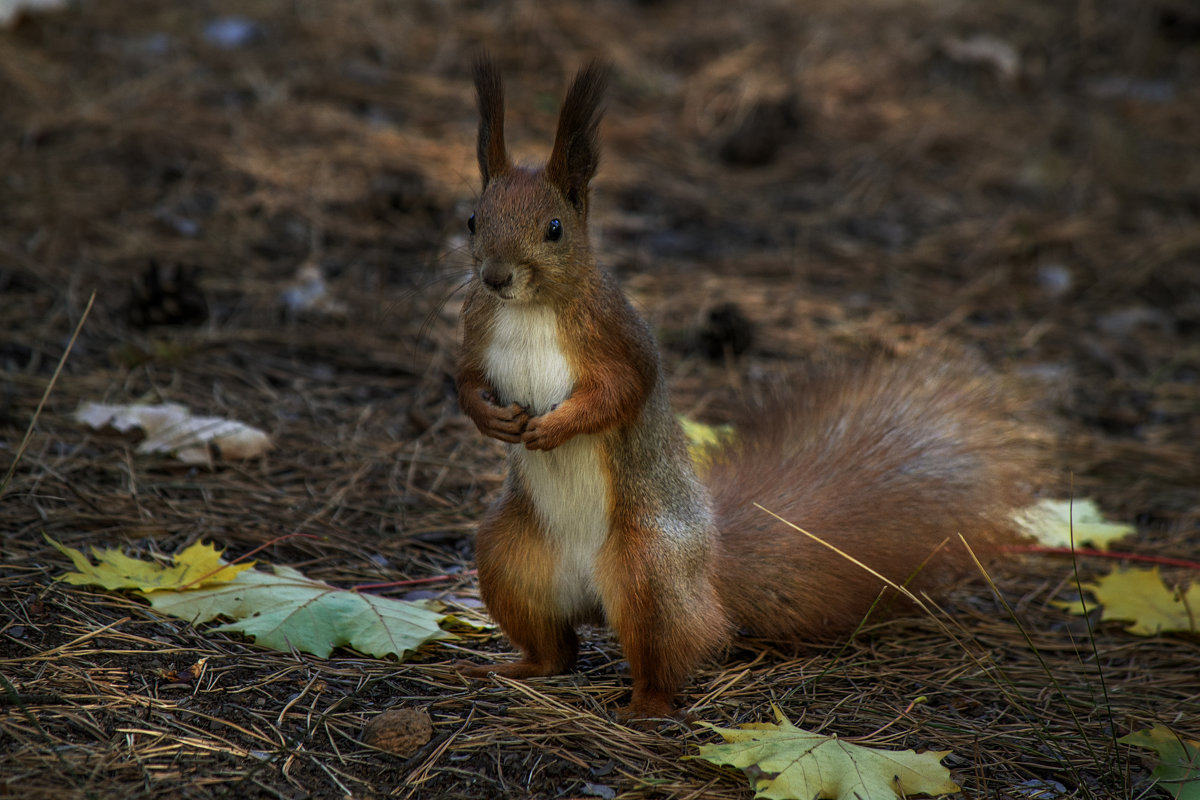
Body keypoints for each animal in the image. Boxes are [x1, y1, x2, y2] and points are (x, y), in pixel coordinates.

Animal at [453, 54, 1036, 719]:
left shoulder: (618, 338)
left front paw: (555, 426)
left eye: (554, 228)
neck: (529, 310)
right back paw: (515, 668)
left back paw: (647, 705)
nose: (496, 277)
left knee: (667, 648)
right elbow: (467, 379)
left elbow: (620, 393)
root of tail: (707, 569)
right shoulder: (477, 327)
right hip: (509, 558)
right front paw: (491, 418)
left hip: (649, 569)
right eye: (472, 219)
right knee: (556, 648)